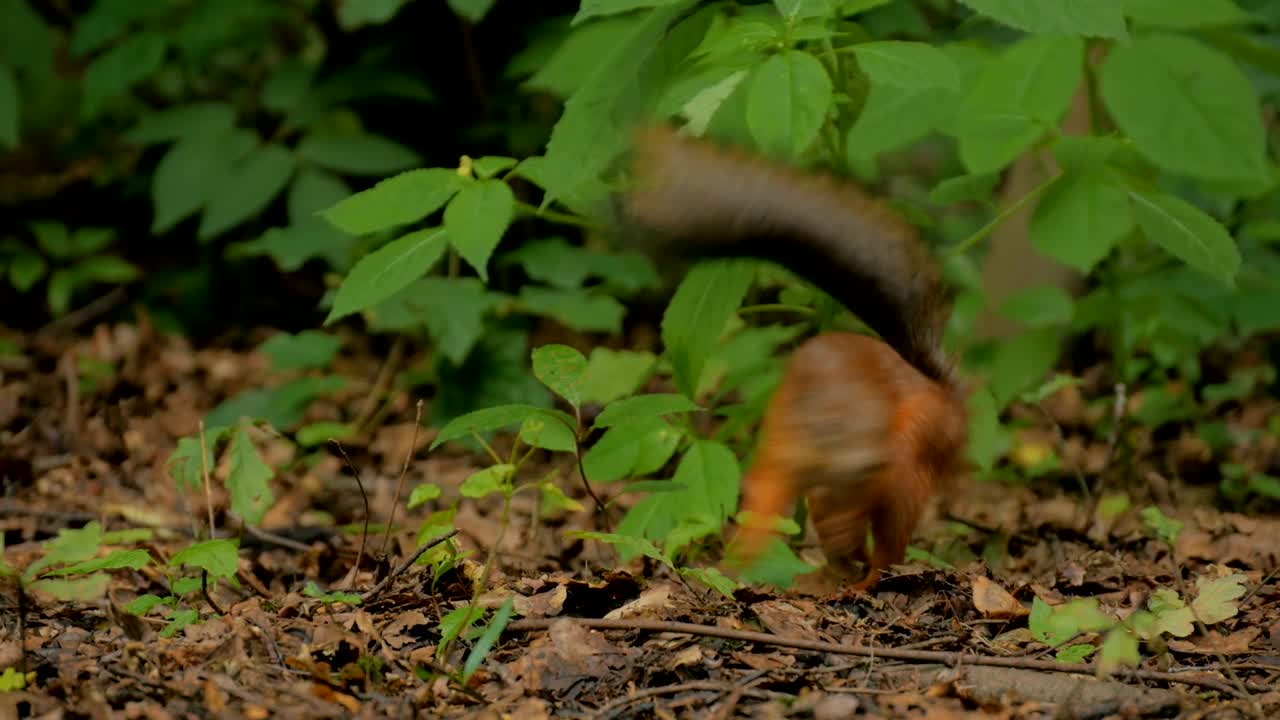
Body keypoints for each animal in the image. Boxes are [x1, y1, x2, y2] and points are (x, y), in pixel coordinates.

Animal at [619, 126, 969, 589]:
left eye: (869, 425)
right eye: (832, 426)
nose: (868, 460)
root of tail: (944, 391)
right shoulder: (785, 457)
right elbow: (765, 509)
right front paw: (733, 567)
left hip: (925, 436)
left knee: (893, 535)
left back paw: (867, 577)